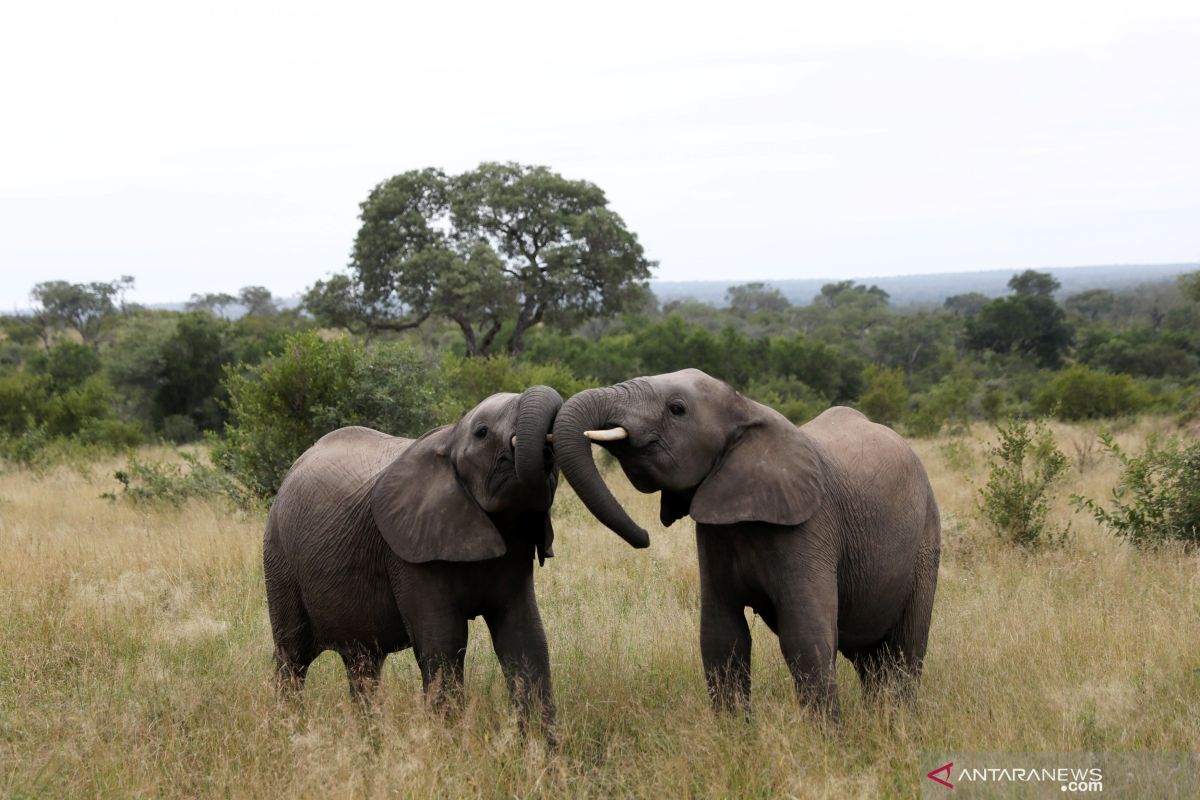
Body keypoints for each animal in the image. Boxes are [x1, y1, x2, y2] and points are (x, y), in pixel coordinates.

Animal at [552, 371, 936, 719]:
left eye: (677, 409)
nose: (644, 537)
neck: (746, 409)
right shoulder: (715, 531)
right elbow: (722, 636)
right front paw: (732, 734)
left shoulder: (812, 526)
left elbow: (805, 636)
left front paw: (827, 741)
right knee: (870, 659)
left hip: (926, 539)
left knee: (905, 649)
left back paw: (896, 723)